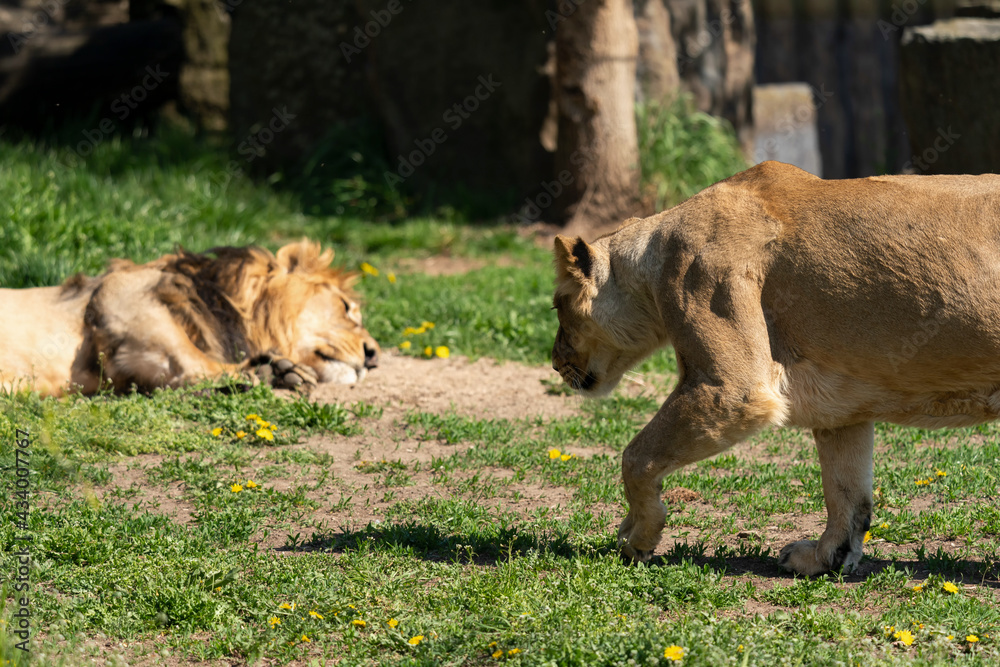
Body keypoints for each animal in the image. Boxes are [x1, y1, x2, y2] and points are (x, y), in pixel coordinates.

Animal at [552, 160, 1000, 576]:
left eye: (557, 306)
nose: (555, 363)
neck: (651, 257)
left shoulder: (728, 386)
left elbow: (636, 458)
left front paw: (636, 536)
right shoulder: (841, 405)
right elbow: (846, 491)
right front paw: (824, 558)